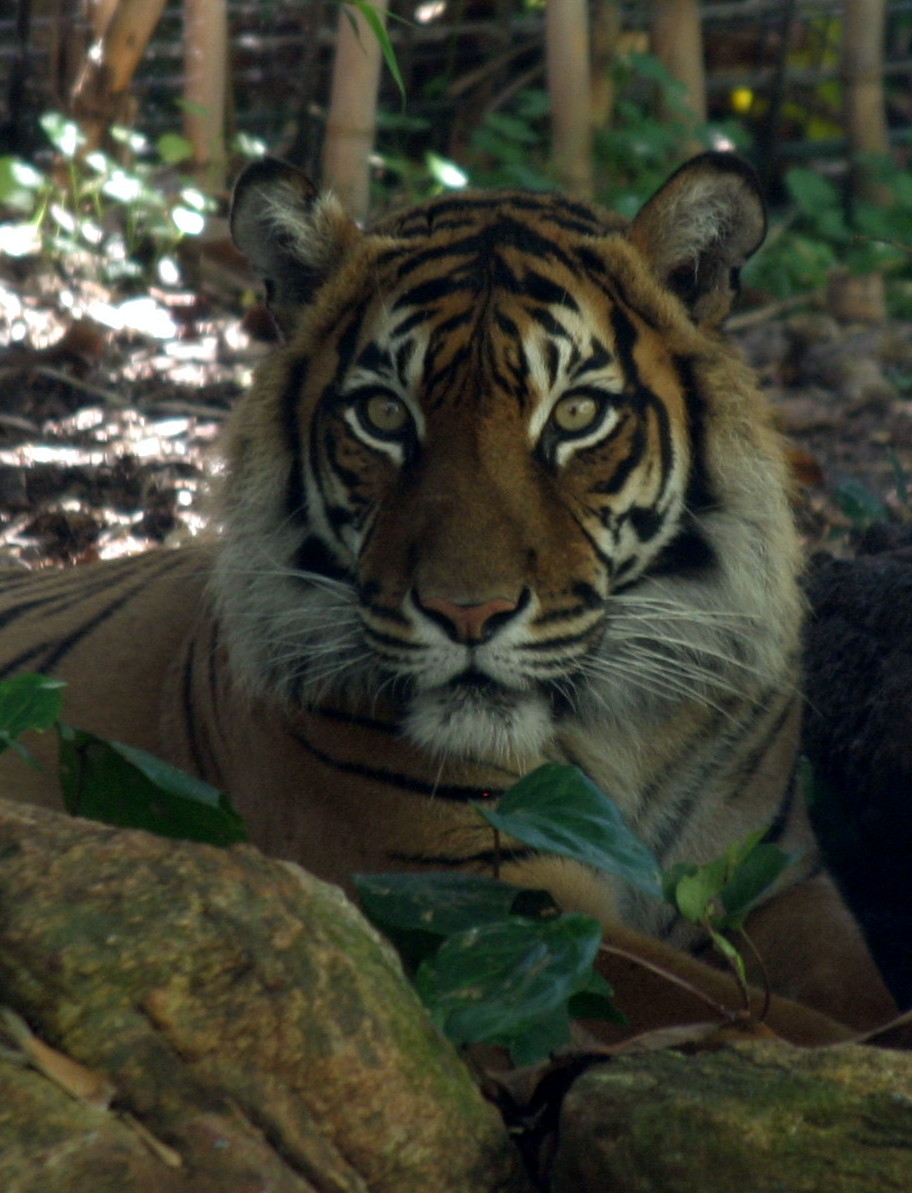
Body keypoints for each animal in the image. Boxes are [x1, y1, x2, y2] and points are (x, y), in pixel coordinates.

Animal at [0, 152, 896, 1041]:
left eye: (576, 413)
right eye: (383, 413)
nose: (469, 613)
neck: (626, 729)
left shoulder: (777, 880)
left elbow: (864, 1004)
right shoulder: (484, 901)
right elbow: (780, 1025)